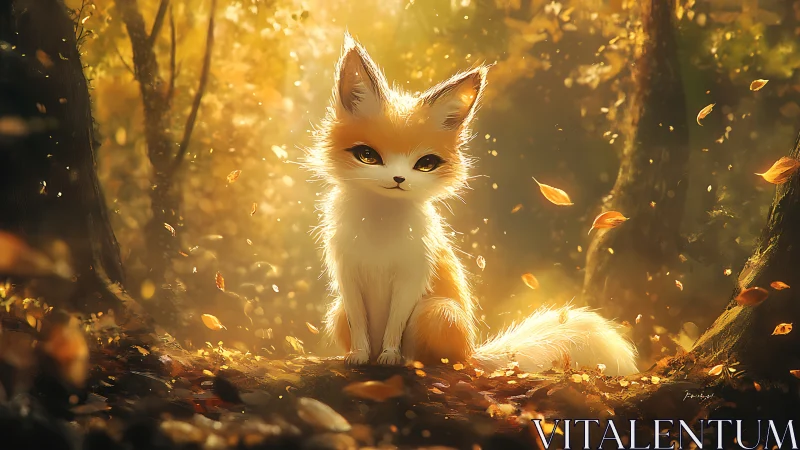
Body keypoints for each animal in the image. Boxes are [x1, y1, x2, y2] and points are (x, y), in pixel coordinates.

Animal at [304, 33, 638, 376]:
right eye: (368, 156)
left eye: (426, 163)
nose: (398, 178)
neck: (381, 225)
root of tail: (472, 350)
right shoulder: (348, 276)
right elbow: (359, 325)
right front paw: (359, 355)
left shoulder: (411, 278)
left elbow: (395, 326)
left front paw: (390, 356)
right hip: (338, 311)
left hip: (436, 311)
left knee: (445, 361)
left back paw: (415, 363)